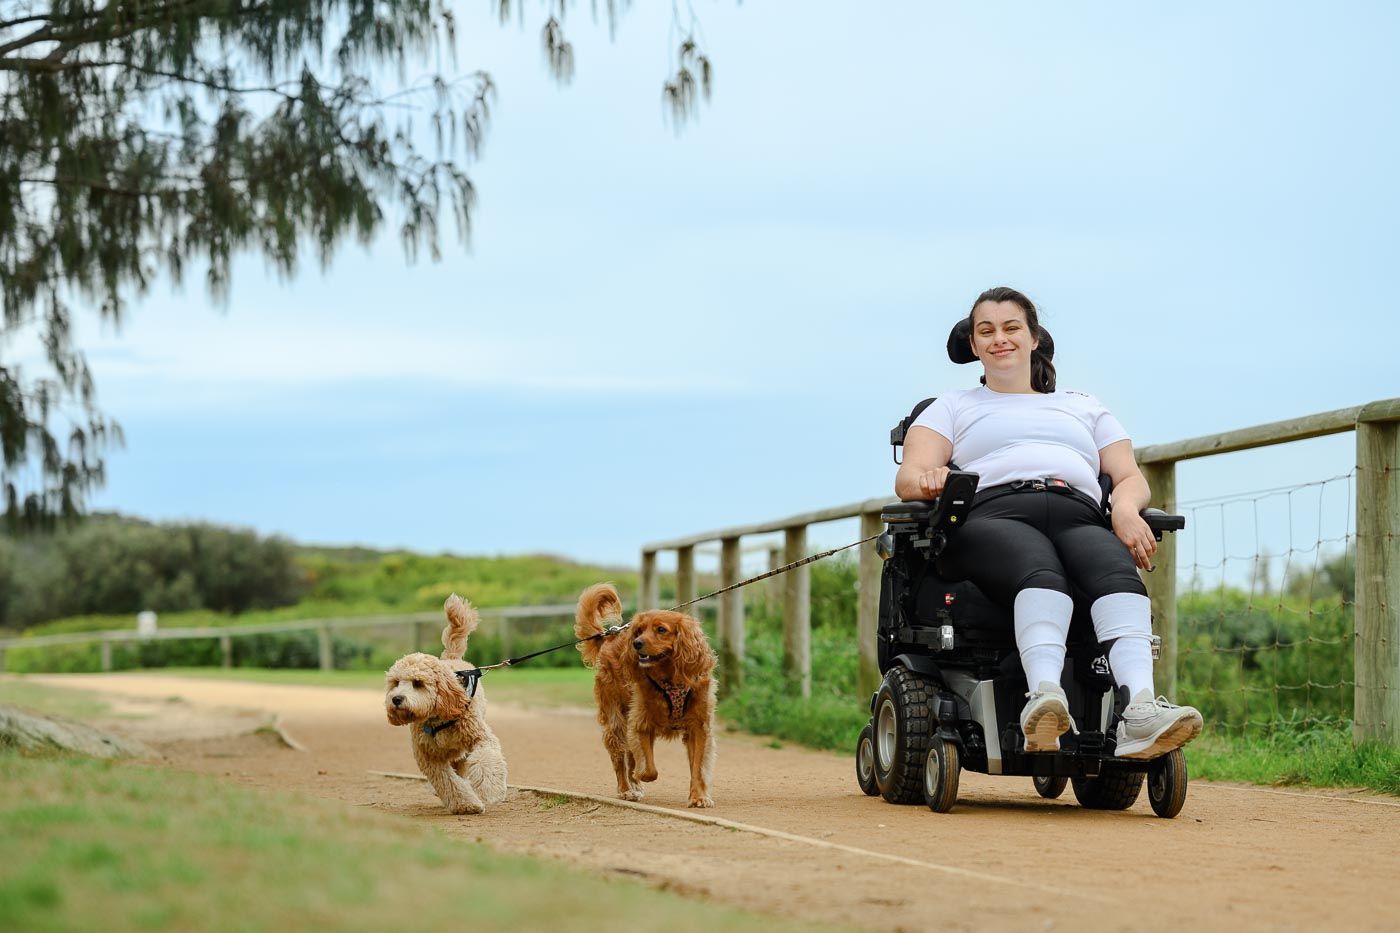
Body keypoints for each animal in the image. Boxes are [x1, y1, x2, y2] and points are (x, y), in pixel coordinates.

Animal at [383, 591, 509, 812]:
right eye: (395, 683)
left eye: (418, 683)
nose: (396, 699)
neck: (437, 718)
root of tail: (450, 658)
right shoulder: (429, 758)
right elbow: (447, 782)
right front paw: (465, 804)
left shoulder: (481, 737)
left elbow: (486, 760)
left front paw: (490, 789)